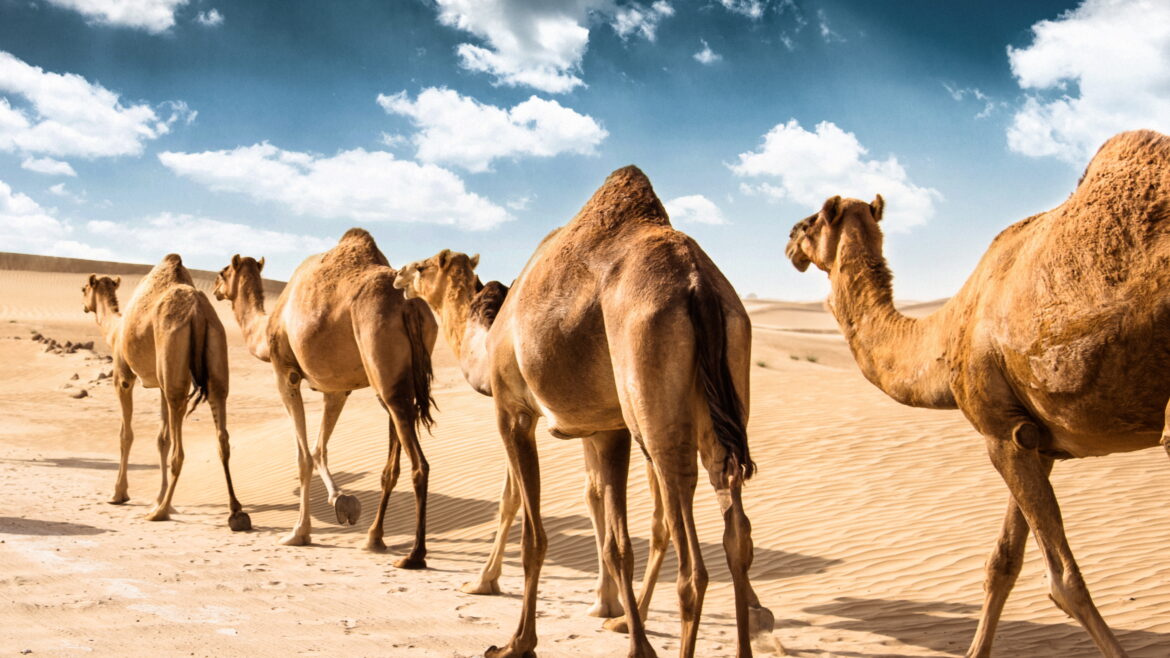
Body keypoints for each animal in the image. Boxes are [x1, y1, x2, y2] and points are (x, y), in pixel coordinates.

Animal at [81, 254, 250, 531]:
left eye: (83, 288)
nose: (84, 306)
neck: (115, 330)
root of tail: (198, 312)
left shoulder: (122, 376)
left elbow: (126, 434)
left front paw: (119, 494)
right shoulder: (160, 384)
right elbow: (162, 438)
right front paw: (159, 497)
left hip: (173, 360)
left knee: (179, 449)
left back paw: (159, 512)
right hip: (214, 354)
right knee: (221, 434)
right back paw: (236, 512)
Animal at [213, 229, 437, 567]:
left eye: (222, 272)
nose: (215, 290)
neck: (266, 328)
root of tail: (409, 306)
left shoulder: (285, 373)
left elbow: (303, 456)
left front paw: (298, 533)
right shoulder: (336, 388)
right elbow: (320, 449)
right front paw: (342, 502)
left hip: (384, 371)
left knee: (419, 465)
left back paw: (414, 555)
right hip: (397, 384)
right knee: (393, 463)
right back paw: (374, 538)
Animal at [395, 165, 780, 657]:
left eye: (424, 266)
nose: (398, 273)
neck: (486, 342)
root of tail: (699, 287)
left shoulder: (512, 411)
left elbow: (527, 525)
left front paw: (516, 639)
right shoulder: (604, 428)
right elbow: (616, 541)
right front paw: (625, 630)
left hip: (655, 406)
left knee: (692, 564)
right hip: (724, 395)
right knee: (736, 533)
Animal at [785, 129, 1170, 657]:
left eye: (811, 221)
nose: (788, 240)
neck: (949, 332)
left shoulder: (999, 433)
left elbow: (1062, 581)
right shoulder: (1034, 438)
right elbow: (1002, 562)